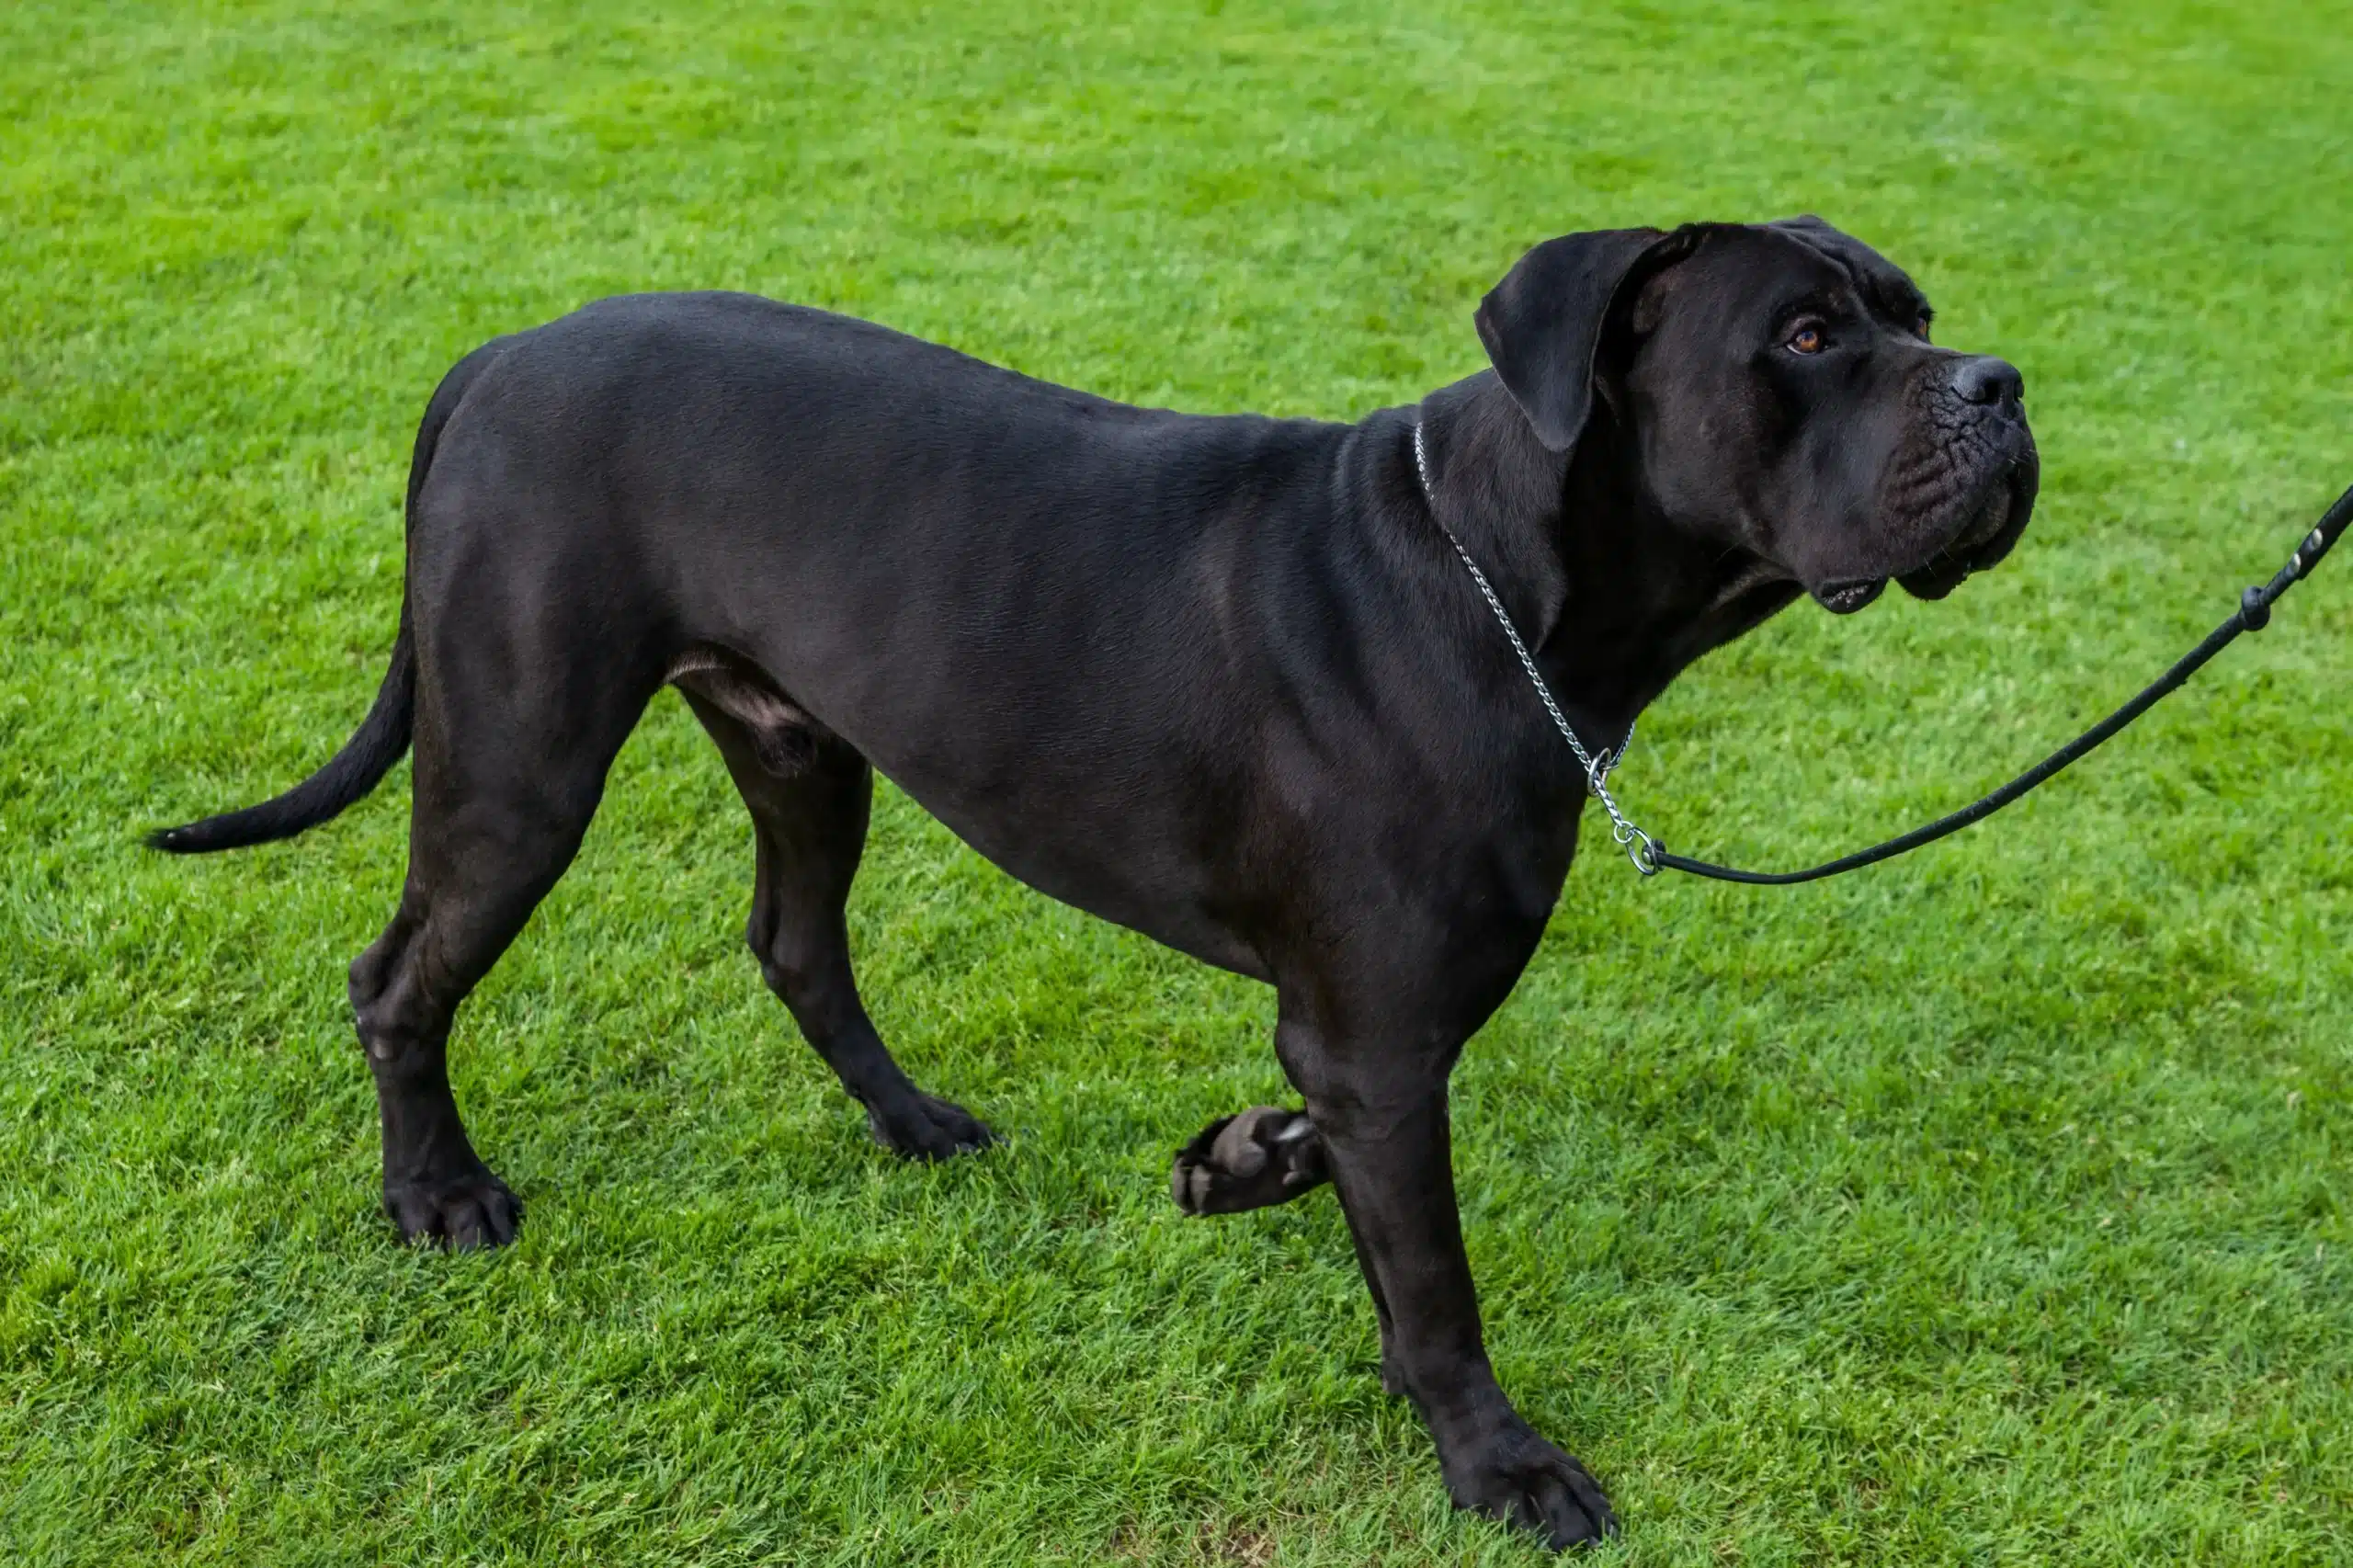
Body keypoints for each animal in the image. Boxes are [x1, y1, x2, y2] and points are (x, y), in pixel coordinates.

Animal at [156, 216, 2032, 1535]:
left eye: (1918, 311)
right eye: (1807, 336)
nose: (1999, 384)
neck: (1504, 582)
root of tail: (500, 351)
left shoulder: (1366, 1039)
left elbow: (1351, 1189)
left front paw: (1246, 1160)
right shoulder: (1380, 1039)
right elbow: (1436, 1278)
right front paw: (1499, 1465)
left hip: (801, 743)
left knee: (794, 941)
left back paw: (914, 1122)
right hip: (522, 764)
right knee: (400, 975)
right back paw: (436, 1193)